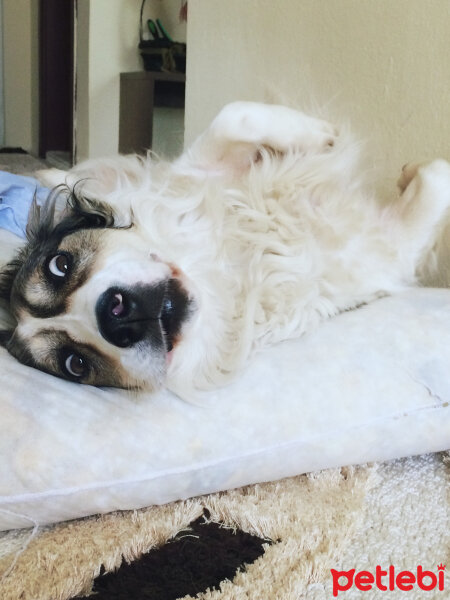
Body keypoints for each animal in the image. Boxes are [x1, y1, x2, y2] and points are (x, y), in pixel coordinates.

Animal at [0, 101, 450, 396]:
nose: (118, 317)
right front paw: (412, 172)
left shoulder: (201, 170)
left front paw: (324, 134)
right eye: (75, 364)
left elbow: (235, 115)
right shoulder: (385, 251)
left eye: (60, 264)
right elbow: (437, 177)